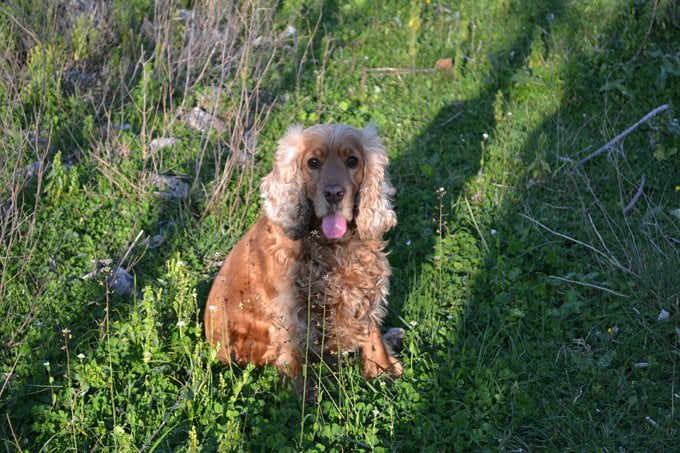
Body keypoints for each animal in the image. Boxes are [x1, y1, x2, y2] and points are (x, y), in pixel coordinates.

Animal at [205, 123, 402, 396]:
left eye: (352, 160)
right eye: (313, 162)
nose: (334, 193)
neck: (331, 246)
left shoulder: (365, 286)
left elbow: (372, 333)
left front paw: (384, 370)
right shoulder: (290, 307)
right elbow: (293, 354)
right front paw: (300, 396)